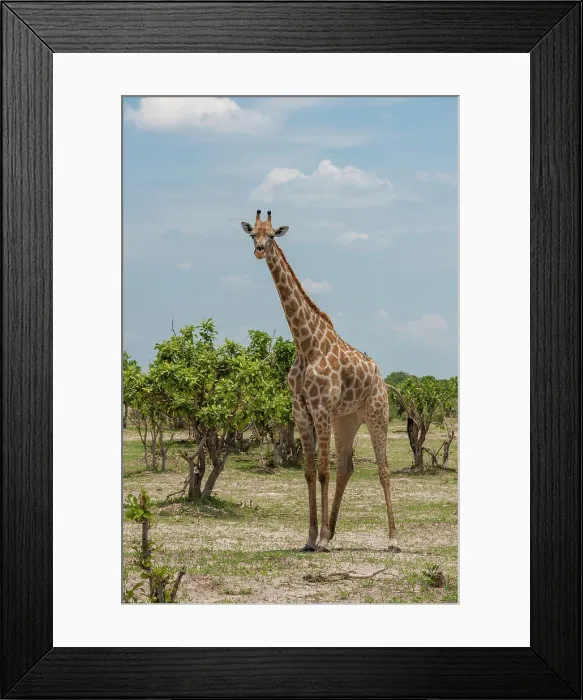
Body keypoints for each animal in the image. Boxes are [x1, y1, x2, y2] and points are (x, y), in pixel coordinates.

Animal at [241, 210, 400, 553]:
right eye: (252, 234)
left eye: (272, 235)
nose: (259, 250)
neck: (306, 344)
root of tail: (380, 376)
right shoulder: (301, 412)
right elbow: (310, 472)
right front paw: (313, 536)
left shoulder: (321, 409)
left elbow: (323, 472)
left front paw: (322, 539)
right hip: (346, 420)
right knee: (346, 468)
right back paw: (333, 532)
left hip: (377, 413)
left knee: (382, 469)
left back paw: (393, 538)